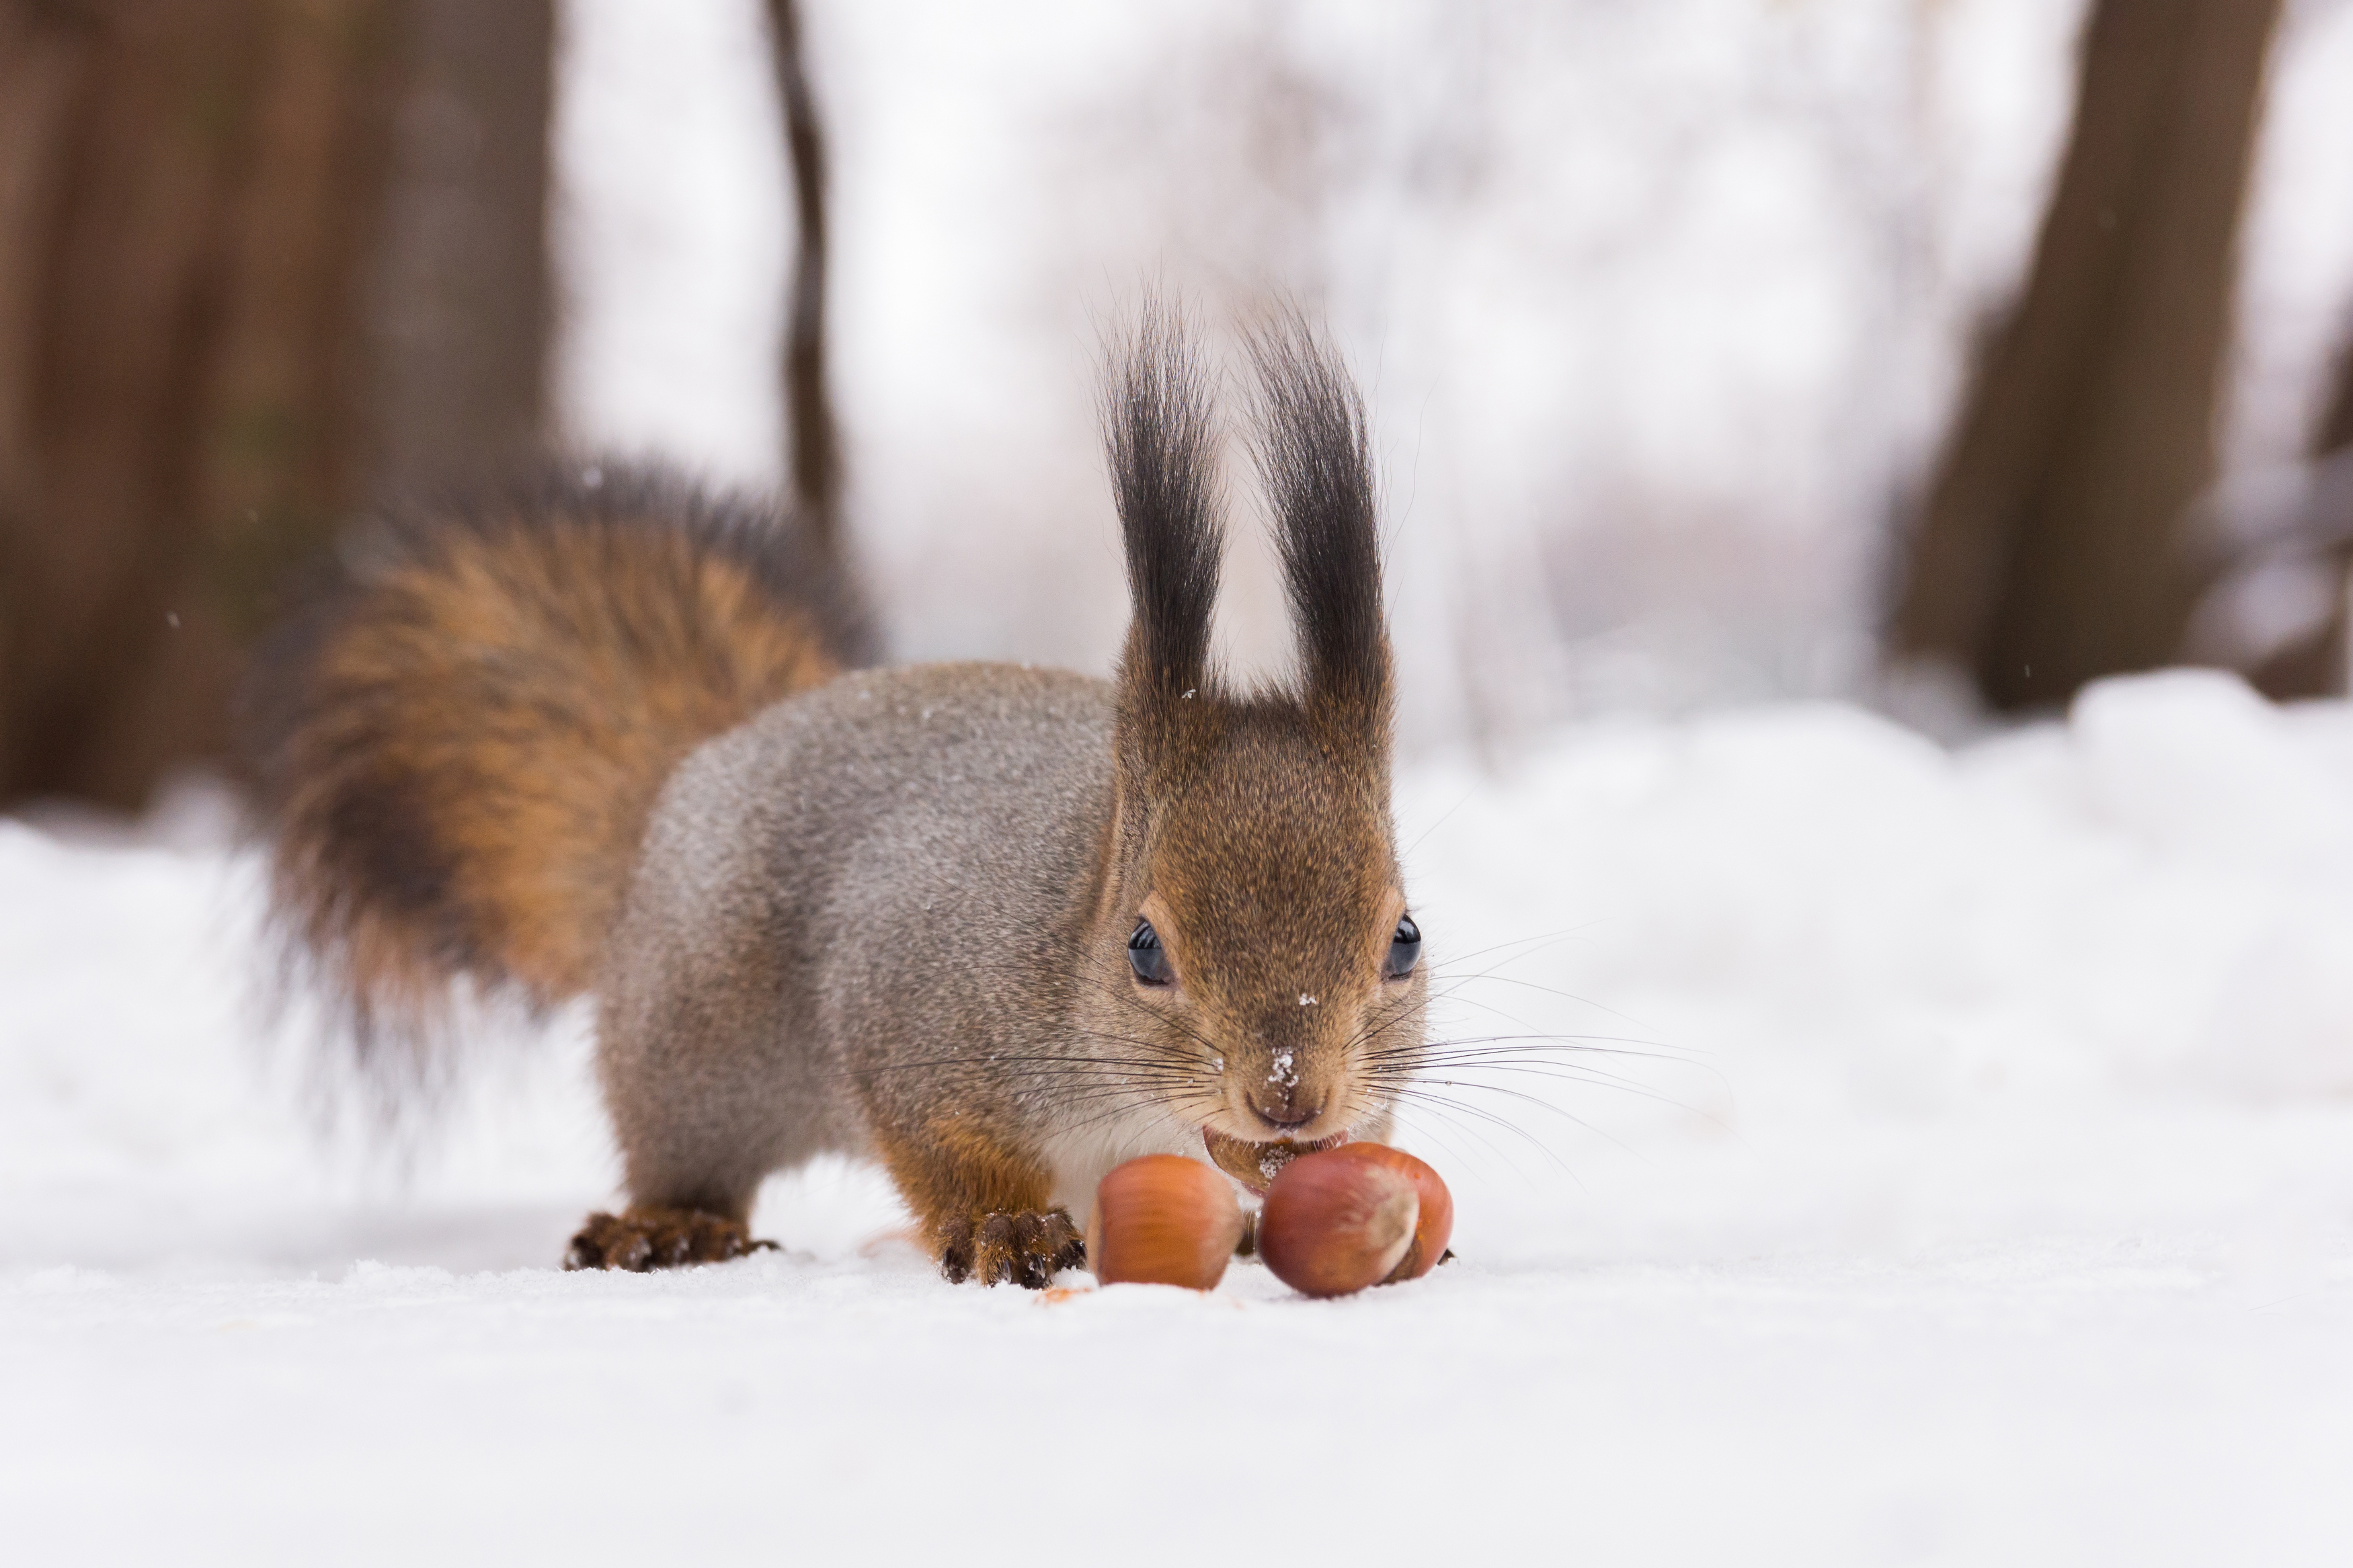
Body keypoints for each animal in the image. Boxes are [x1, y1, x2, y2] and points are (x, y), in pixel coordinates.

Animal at [248, 315, 1440, 1288]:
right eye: (1144, 949)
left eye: (1405, 940)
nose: (1289, 1095)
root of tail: (700, 768)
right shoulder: (919, 1016)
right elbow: (938, 1146)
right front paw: (1006, 1229)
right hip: (696, 1051)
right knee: (684, 1152)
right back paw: (670, 1223)